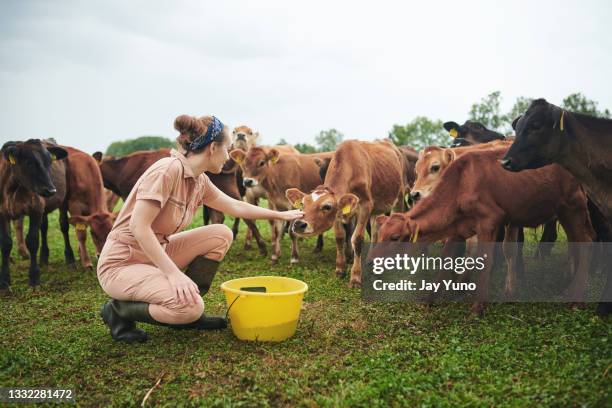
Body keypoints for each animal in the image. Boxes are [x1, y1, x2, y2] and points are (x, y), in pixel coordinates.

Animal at [0, 139, 68, 288]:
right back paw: (43, 258)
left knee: (64, 226)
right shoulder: (2, 214)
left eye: (50, 161)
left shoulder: (36, 209)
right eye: (28, 162)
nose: (51, 190)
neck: (11, 189)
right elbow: (6, 243)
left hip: (64, 200)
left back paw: (70, 258)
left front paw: (34, 278)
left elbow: (32, 241)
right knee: (44, 227)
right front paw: (5, 281)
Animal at [286, 139, 406, 286]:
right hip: (377, 208)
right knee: (375, 232)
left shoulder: (365, 206)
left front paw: (355, 277)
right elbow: (340, 237)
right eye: (303, 203)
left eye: (327, 206)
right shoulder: (339, 214)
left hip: (399, 198)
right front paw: (339, 270)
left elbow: (357, 239)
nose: (298, 224)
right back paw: (371, 260)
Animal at [376, 147, 596, 316]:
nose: (373, 261)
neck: (462, 182)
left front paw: (478, 306)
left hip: (574, 206)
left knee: (585, 243)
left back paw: (577, 297)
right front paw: (429, 298)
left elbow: (485, 260)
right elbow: (446, 259)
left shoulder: (489, 222)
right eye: (379, 235)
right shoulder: (457, 229)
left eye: (395, 237)